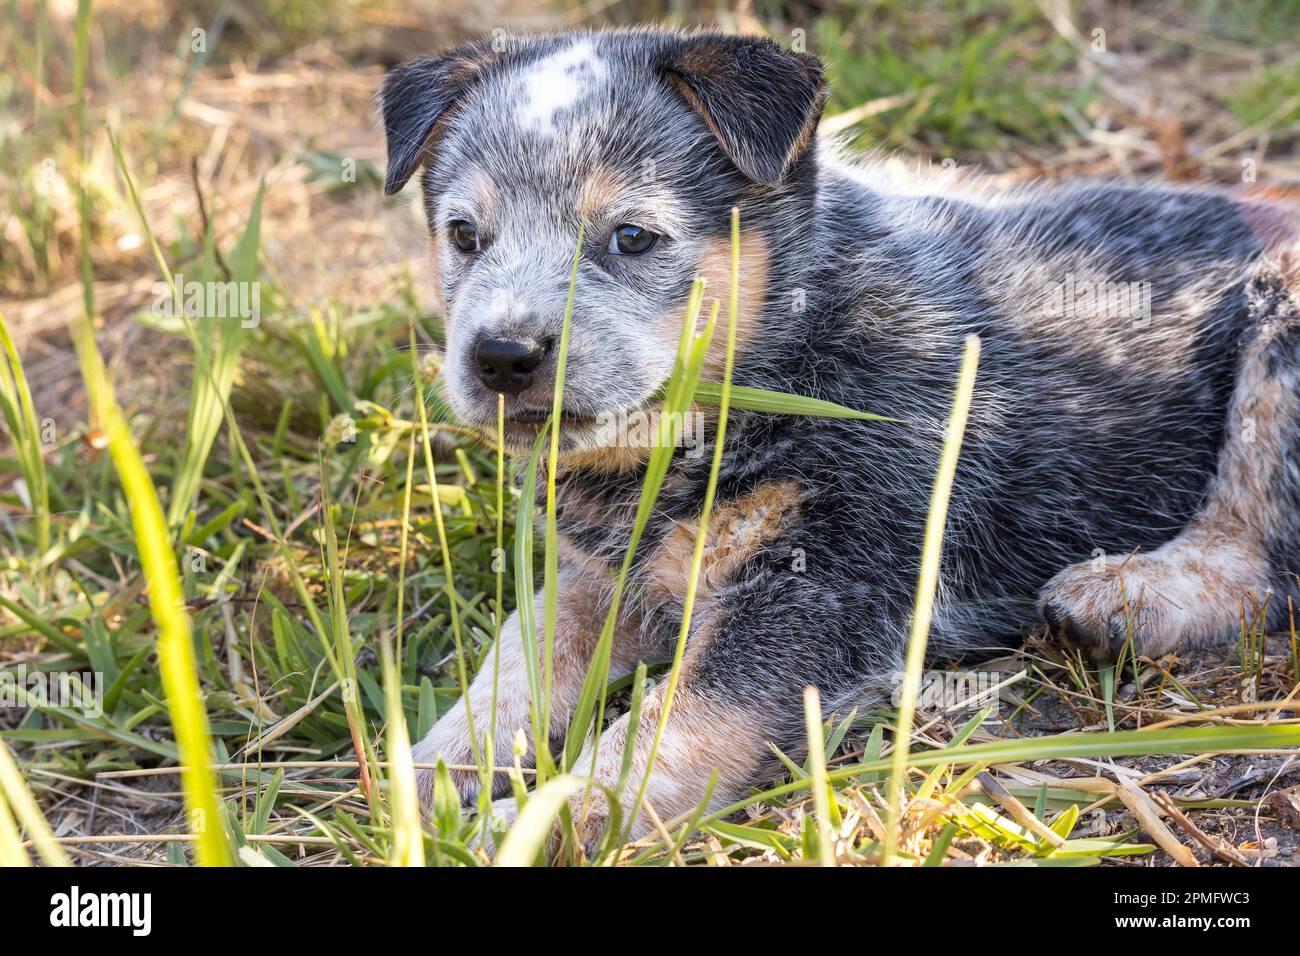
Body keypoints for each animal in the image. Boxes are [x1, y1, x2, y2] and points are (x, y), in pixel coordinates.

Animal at [377, 27, 1300, 842]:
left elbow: (672, 725)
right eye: (464, 234)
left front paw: (546, 821)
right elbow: (520, 654)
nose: (502, 355)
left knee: (1259, 551)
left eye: (631, 236)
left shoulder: (819, 585)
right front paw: (429, 775)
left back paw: (1125, 597)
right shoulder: (606, 573)